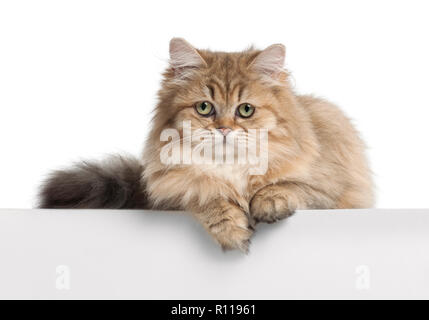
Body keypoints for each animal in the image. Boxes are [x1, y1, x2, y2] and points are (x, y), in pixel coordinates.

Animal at [40, 38, 374, 252]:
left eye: (246, 110)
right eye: (204, 108)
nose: (224, 128)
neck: (232, 170)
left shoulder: (333, 189)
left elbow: (287, 186)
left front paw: (268, 202)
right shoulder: (177, 192)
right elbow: (209, 197)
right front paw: (232, 228)